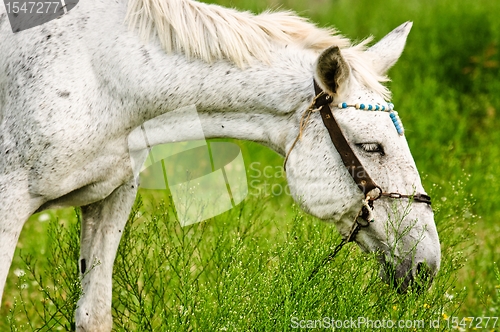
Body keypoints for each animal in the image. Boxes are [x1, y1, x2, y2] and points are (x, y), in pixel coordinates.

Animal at [0, 0, 438, 330]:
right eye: (372, 146)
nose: (427, 265)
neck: (101, 73)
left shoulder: (110, 200)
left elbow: (94, 315)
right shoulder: (9, 208)